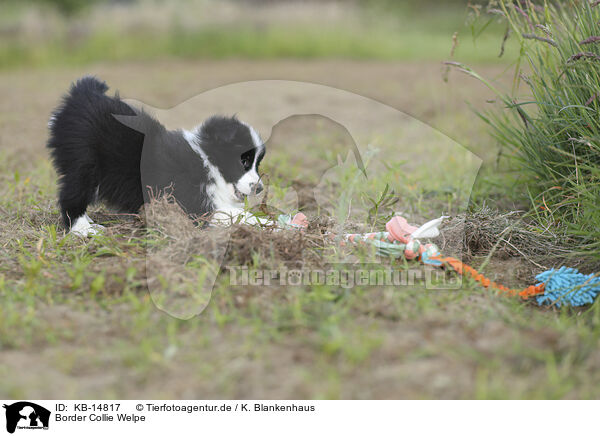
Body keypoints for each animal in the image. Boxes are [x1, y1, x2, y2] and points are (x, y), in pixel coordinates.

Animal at [44, 76, 264, 237]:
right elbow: (236, 214)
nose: (260, 188)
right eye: (243, 161)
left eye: (257, 164)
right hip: (85, 161)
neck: (206, 160)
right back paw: (83, 228)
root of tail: (83, 93)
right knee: (72, 194)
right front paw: (268, 224)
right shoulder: (192, 201)